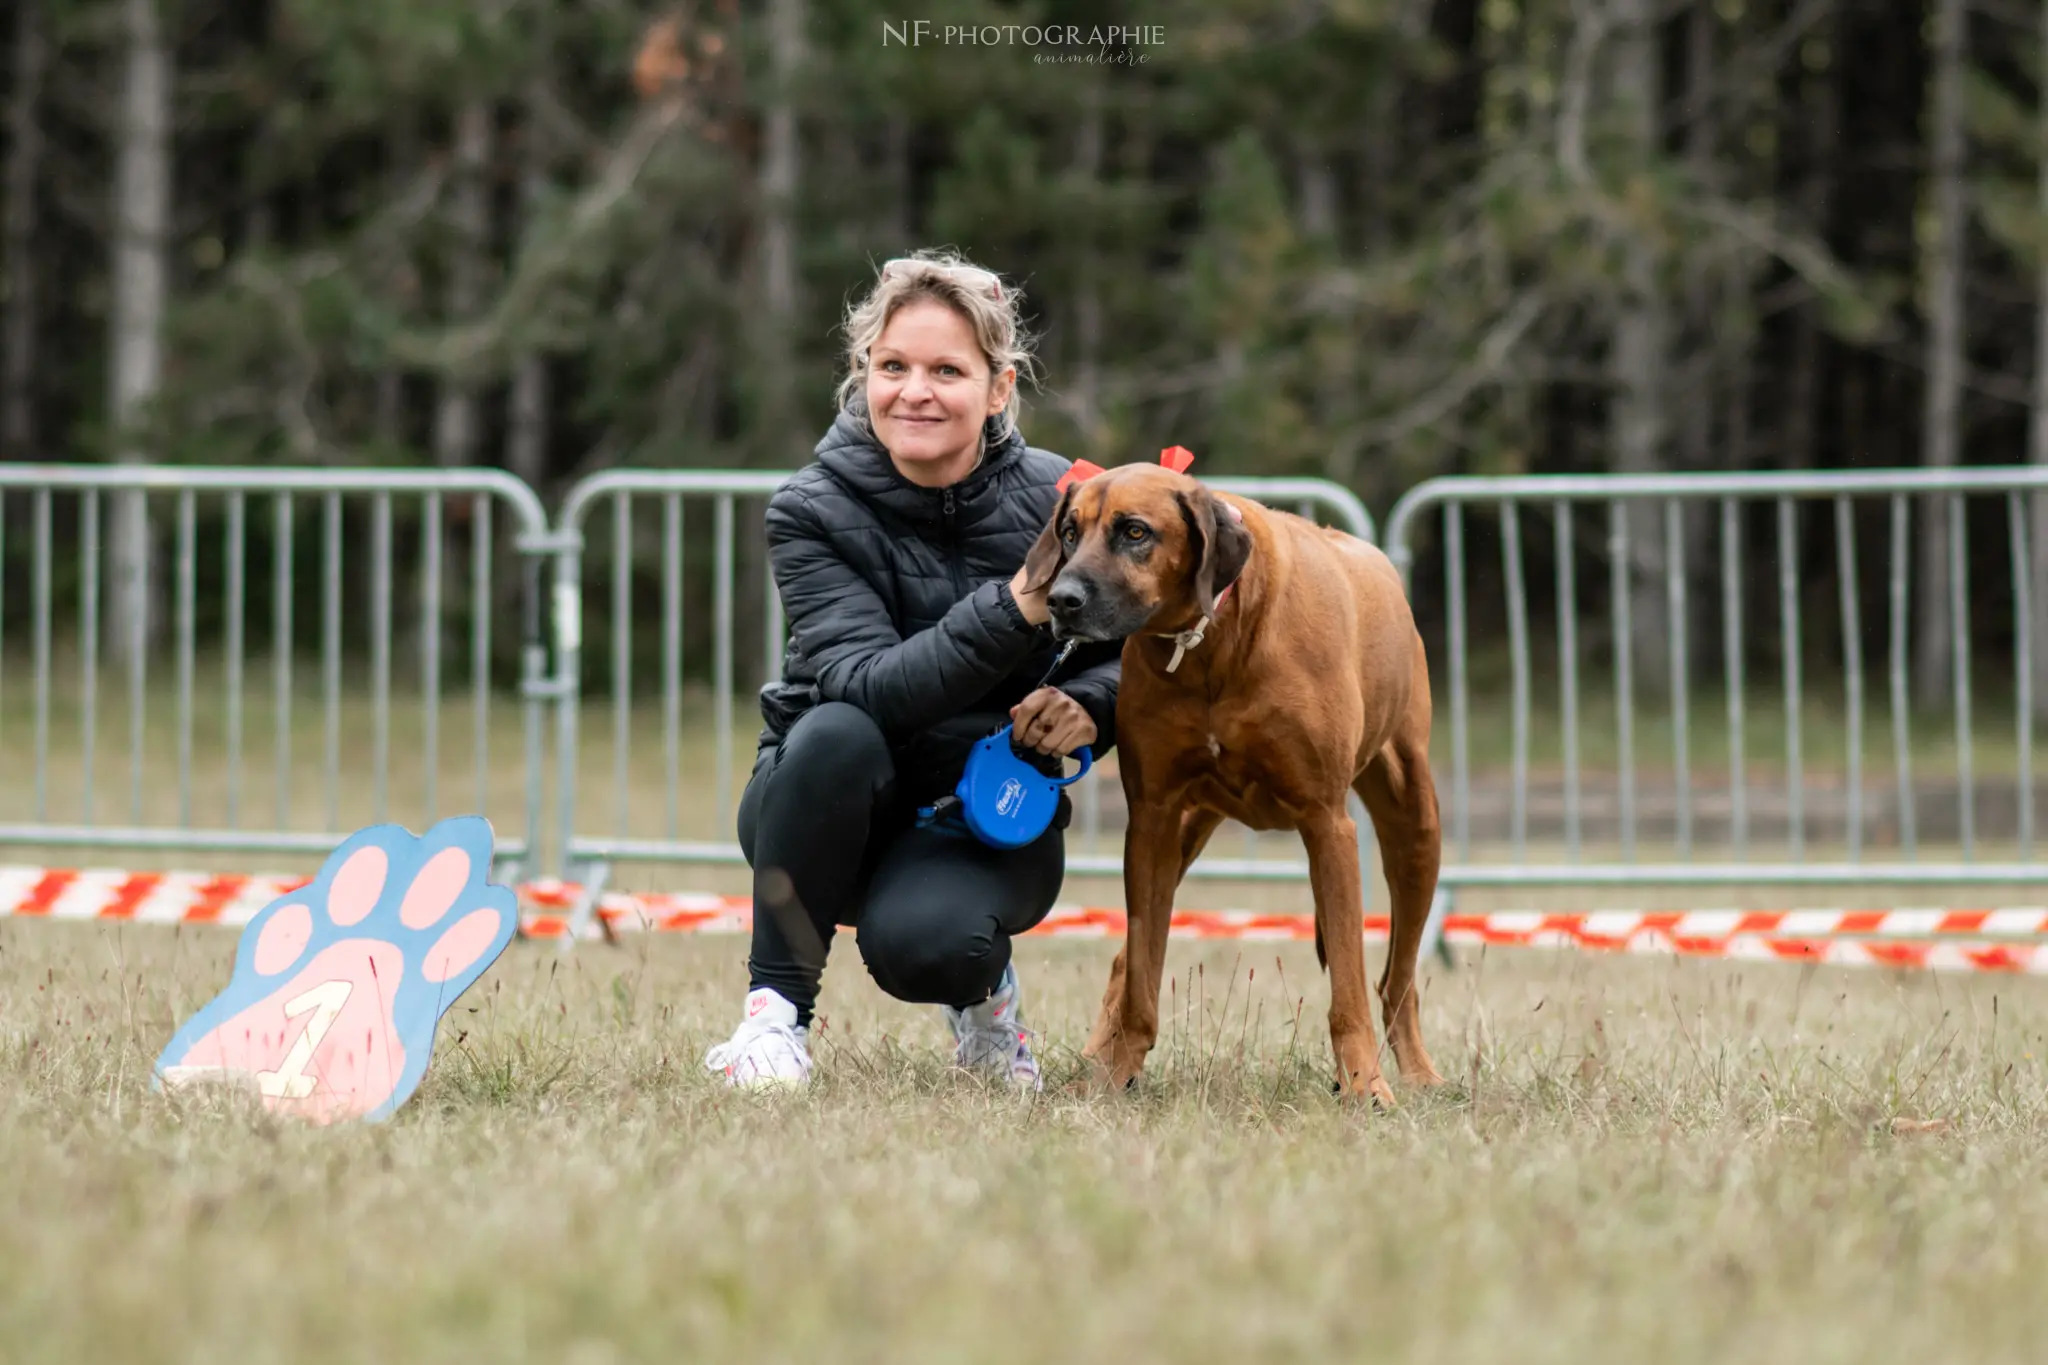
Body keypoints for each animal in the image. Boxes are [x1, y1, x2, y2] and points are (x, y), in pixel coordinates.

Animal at [1019, 464, 1441, 1105]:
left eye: (1135, 532)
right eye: (1069, 532)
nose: (1061, 600)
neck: (1210, 640)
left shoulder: (1327, 823)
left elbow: (1348, 986)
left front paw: (1365, 1086)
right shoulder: (1153, 820)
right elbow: (1142, 972)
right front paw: (1116, 1077)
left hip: (1416, 824)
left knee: (1398, 977)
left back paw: (1418, 1074)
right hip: (1189, 827)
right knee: (1124, 962)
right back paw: (1097, 1055)